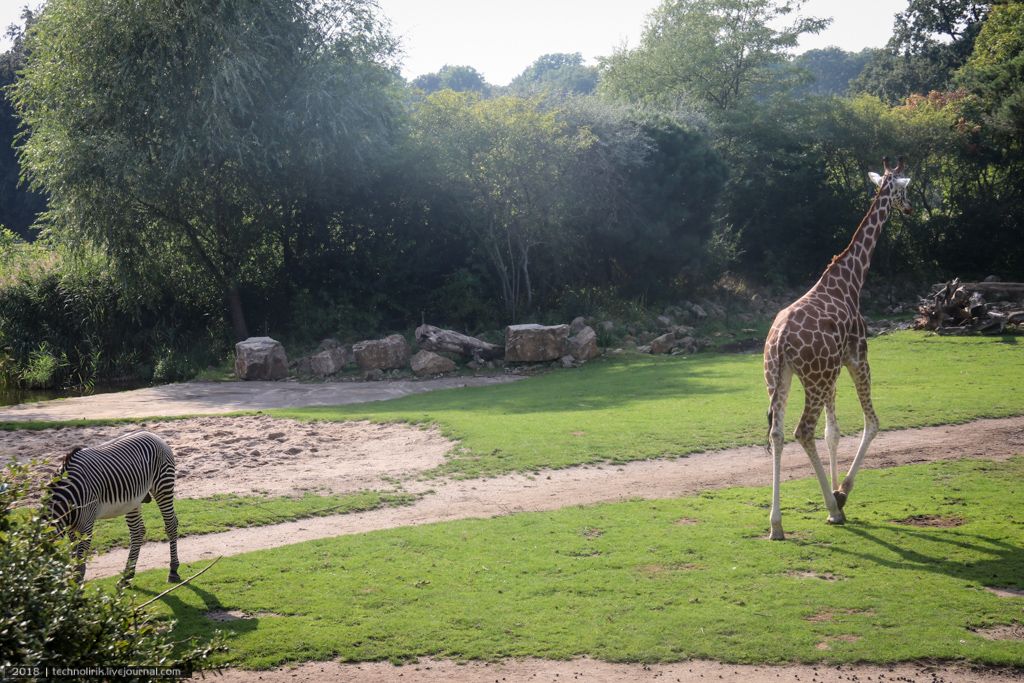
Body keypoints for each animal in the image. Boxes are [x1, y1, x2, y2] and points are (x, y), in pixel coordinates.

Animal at [48, 432, 182, 581]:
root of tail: (153, 435)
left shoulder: (86, 524)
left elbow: (80, 562)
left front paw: (76, 584)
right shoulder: (71, 528)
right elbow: (73, 556)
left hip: (163, 486)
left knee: (170, 524)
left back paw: (173, 570)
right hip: (133, 500)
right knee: (137, 532)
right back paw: (127, 576)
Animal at [761, 154, 913, 540]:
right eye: (906, 190)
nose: (909, 208)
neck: (851, 279)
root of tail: (780, 340)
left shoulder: (833, 371)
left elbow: (833, 433)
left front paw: (834, 491)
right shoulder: (857, 357)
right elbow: (871, 423)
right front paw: (841, 493)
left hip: (778, 378)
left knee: (778, 432)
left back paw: (776, 525)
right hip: (813, 379)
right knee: (802, 430)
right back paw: (832, 507)